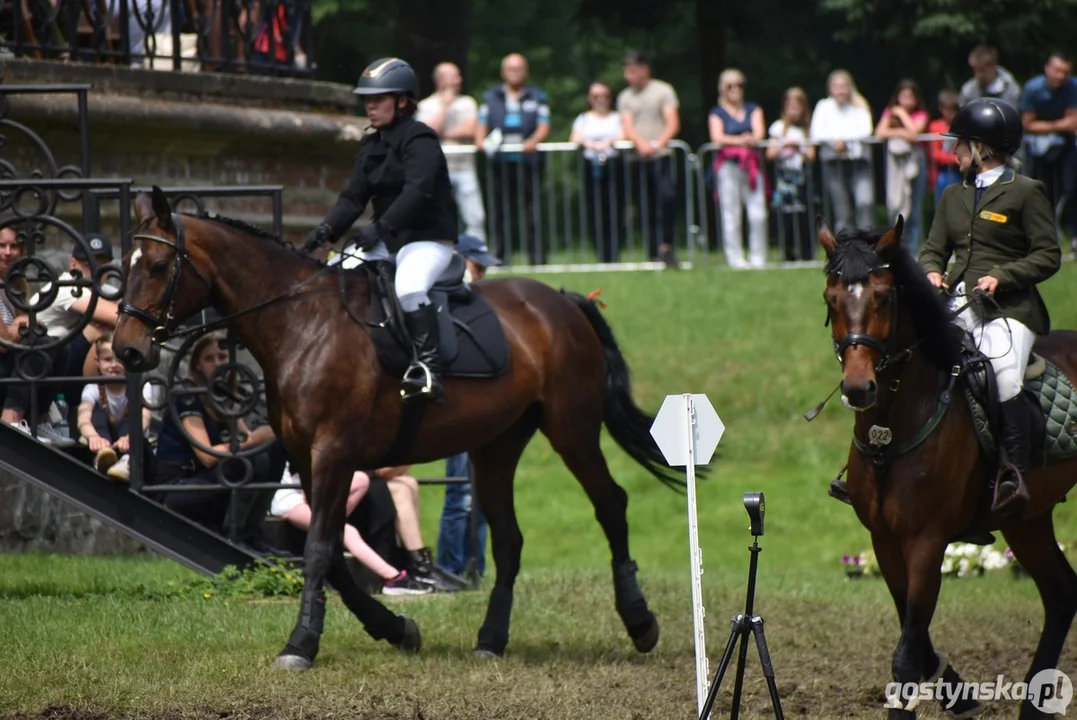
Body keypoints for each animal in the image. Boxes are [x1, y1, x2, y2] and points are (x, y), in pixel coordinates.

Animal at [111, 187, 680, 667]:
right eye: (123, 267)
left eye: (158, 266)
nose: (127, 350)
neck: (301, 323)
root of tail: (562, 301)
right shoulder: (307, 459)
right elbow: (334, 556)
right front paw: (396, 628)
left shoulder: (334, 452)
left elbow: (319, 550)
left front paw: (300, 644)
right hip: (495, 447)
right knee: (509, 540)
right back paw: (491, 640)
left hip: (572, 431)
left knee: (611, 505)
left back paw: (640, 623)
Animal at [814, 216, 1077, 714]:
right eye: (830, 298)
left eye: (883, 296)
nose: (858, 389)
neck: (891, 428)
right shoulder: (884, 541)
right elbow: (916, 640)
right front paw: (959, 695)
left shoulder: (927, 541)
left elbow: (906, 654)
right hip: (1026, 520)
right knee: (1060, 593)